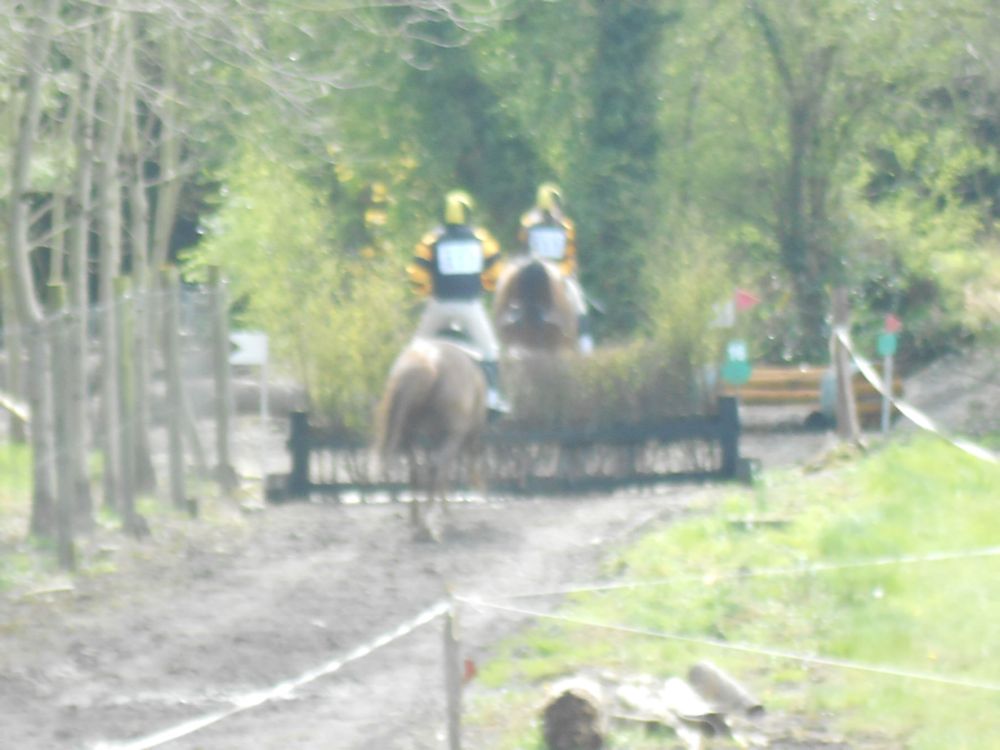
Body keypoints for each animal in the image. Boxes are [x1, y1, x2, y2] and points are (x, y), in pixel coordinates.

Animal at [373, 338, 487, 541]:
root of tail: (429, 364)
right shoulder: (449, 439)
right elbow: (442, 473)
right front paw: (442, 515)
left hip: (410, 437)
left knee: (416, 471)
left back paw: (417, 520)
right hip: (446, 437)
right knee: (435, 468)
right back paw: (430, 525)